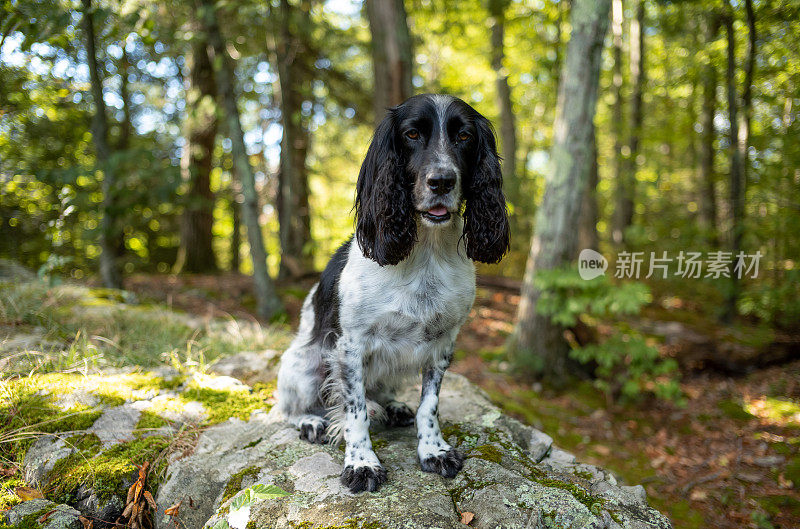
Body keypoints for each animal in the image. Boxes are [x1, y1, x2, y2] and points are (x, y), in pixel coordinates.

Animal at [276, 93, 510, 492]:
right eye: (412, 134)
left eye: (464, 136)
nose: (441, 181)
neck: (426, 253)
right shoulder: (350, 346)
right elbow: (355, 412)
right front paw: (362, 463)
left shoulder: (443, 343)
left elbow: (429, 405)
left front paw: (433, 450)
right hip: (303, 363)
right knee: (290, 407)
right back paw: (311, 421)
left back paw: (393, 407)